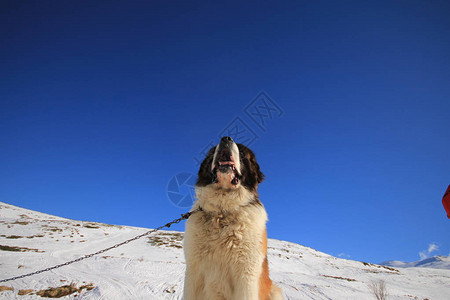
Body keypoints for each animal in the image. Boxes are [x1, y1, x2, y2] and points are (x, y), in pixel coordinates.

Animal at [182, 137, 282, 300]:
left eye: (241, 152)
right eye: (213, 151)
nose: (226, 138)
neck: (222, 212)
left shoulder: (246, 276)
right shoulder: (193, 272)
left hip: (275, 291)